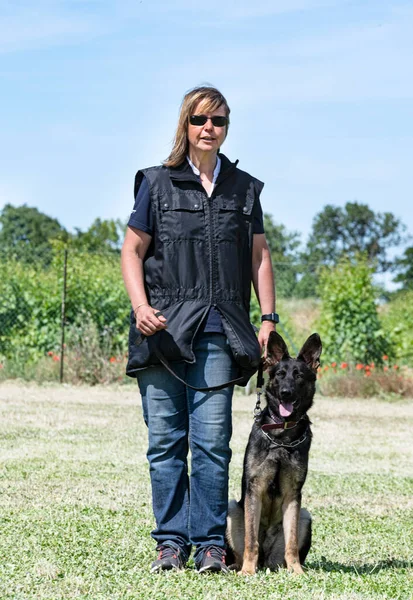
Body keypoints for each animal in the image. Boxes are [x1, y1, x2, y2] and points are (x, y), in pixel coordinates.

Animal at [227, 330, 320, 576]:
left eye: (299, 376)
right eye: (280, 374)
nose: (286, 393)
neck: (281, 437)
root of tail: (266, 561)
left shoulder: (293, 495)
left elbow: (291, 542)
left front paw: (297, 571)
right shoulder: (255, 489)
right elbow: (251, 541)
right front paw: (248, 572)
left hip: (305, 515)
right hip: (232, 509)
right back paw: (239, 566)